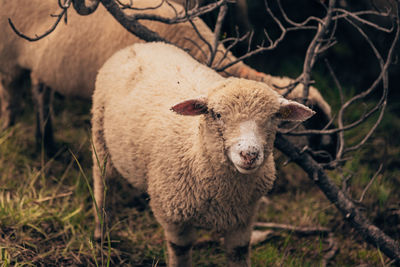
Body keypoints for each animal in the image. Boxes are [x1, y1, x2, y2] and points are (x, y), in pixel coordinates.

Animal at [0, 0, 332, 154]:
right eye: (316, 123)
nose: (333, 162)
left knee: (40, 90)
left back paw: (46, 143)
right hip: (9, 56)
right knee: (12, 94)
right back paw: (11, 131)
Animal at [91, 40, 316, 266]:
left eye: (273, 117)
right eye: (217, 115)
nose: (249, 154)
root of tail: (143, 45)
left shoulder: (244, 218)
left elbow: (238, 252)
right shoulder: (172, 216)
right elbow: (180, 252)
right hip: (99, 133)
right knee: (103, 182)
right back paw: (100, 232)